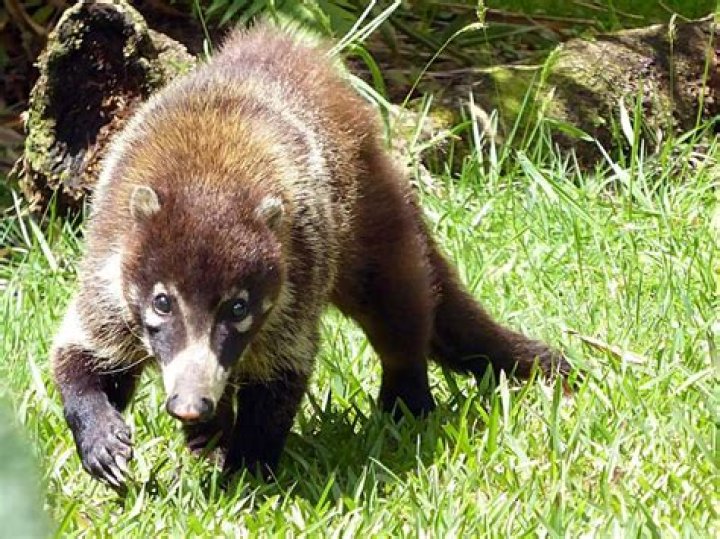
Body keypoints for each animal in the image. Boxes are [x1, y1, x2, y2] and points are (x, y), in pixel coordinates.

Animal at [50, 24, 569, 487]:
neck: (205, 181)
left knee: (400, 305)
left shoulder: (296, 276)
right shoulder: (109, 267)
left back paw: (407, 398)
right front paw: (98, 430)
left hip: (368, 214)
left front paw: (247, 471)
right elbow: (81, 351)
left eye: (238, 308)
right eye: (162, 302)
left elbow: (283, 374)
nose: (190, 405)